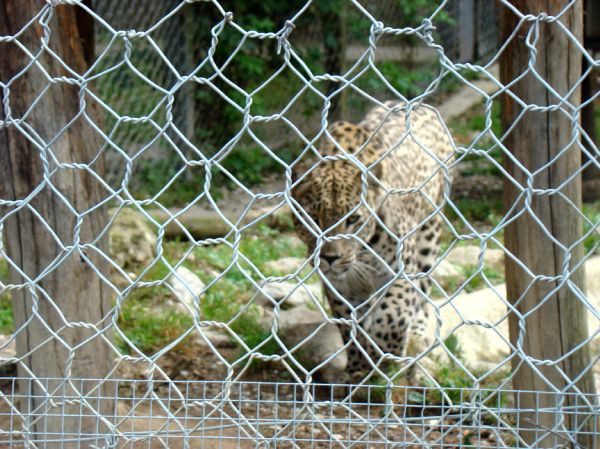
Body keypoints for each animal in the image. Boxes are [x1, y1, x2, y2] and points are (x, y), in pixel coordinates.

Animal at [290, 100, 454, 382]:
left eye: (353, 220)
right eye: (312, 217)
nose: (329, 258)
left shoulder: (401, 271)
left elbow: (394, 313)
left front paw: (386, 351)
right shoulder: (340, 288)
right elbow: (350, 327)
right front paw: (358, 367)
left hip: (429, 233)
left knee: (423, 292)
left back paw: (417, 336)